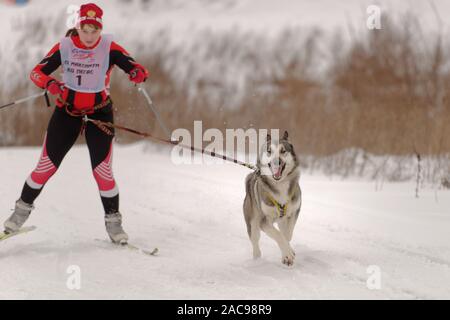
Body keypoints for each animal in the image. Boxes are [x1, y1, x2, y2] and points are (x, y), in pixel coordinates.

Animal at [243, 130, 302, 264]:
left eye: (283, 151)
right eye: (269, 151)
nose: (277, 161)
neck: (280, 185)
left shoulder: (294, 211)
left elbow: (287, 234)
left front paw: (288, 251)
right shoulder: (264, 221)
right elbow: (278, 235)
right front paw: (287, 254)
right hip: (252, 223)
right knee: (255, 241)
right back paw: (257, 258)